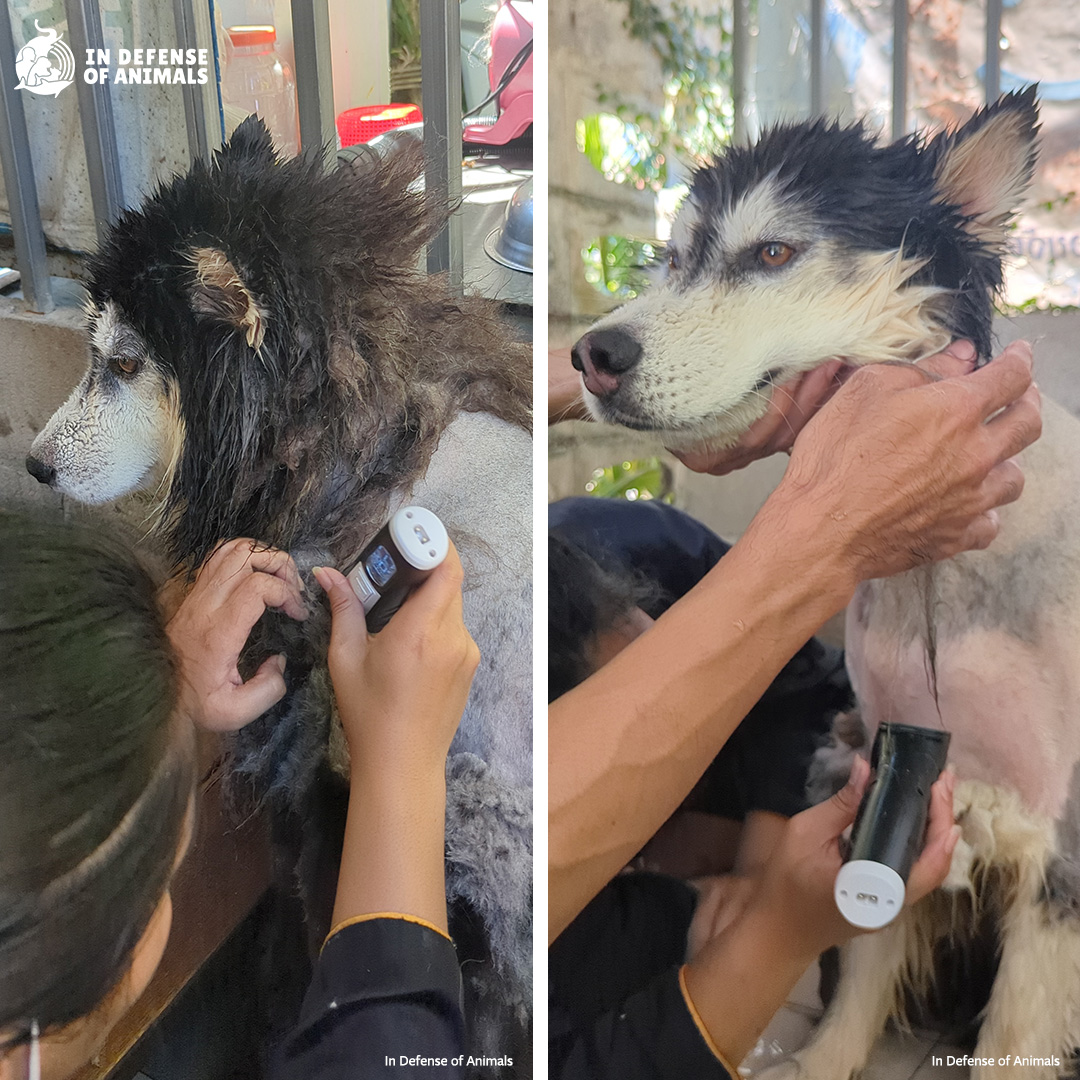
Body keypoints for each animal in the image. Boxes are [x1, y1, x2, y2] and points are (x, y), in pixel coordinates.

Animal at [574, 86, 1080, 1080]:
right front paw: (820, 1062)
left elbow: (1015, 1032)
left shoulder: (1055, 852)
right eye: (674, 260)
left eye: (773, 254)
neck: (936, 577)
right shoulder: (900, 777)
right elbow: (864, 963)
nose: (589, 355)